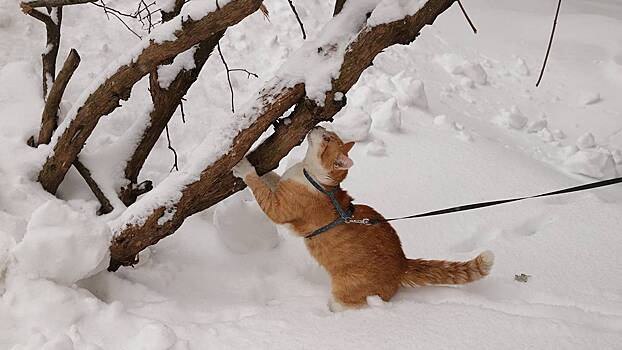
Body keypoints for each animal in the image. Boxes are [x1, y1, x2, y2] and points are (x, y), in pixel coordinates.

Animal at [232, 126, 494, 312]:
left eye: (327, 139)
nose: (317, 125)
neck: (317, 181)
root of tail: (402, 264)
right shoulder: (282, 184)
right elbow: (272, 178)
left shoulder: (278, 208)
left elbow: (257, 185)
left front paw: (244, 167)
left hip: (344, 296)